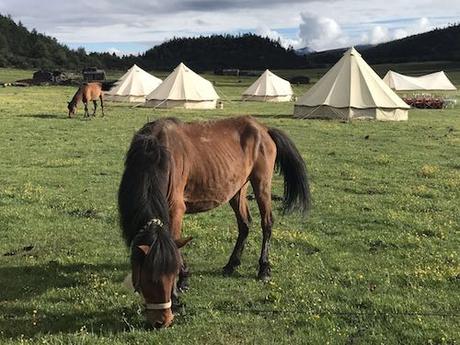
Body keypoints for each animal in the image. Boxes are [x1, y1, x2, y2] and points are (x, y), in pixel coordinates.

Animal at [119, 116, 312, 328]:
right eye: (147, 280)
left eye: (170, 276)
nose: (162, 321)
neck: (156, 154)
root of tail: (264, 129)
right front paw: (185, 278)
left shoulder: (176, 209)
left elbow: (176, 244)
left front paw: (180, 285)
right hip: (237, 189)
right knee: (244, 224)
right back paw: (232, 264)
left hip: (261, 185)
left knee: (266, 223)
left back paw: (263, 268)